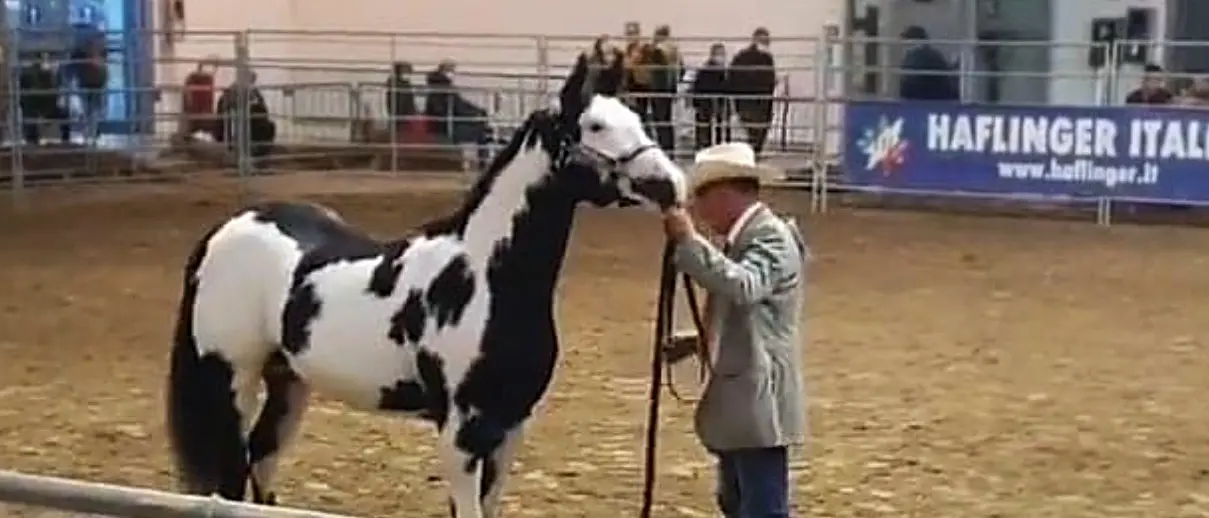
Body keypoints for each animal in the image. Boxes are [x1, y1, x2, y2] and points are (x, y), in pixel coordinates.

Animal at [165, 50, 687, 518]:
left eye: (636, 117)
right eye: (595, 126)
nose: (670, 184)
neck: (486, 280)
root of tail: (224, 230)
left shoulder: (510, 428)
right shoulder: (461, 434)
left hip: (288, 380)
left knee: (261, 464)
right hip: (230, 378)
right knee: (232, 476)